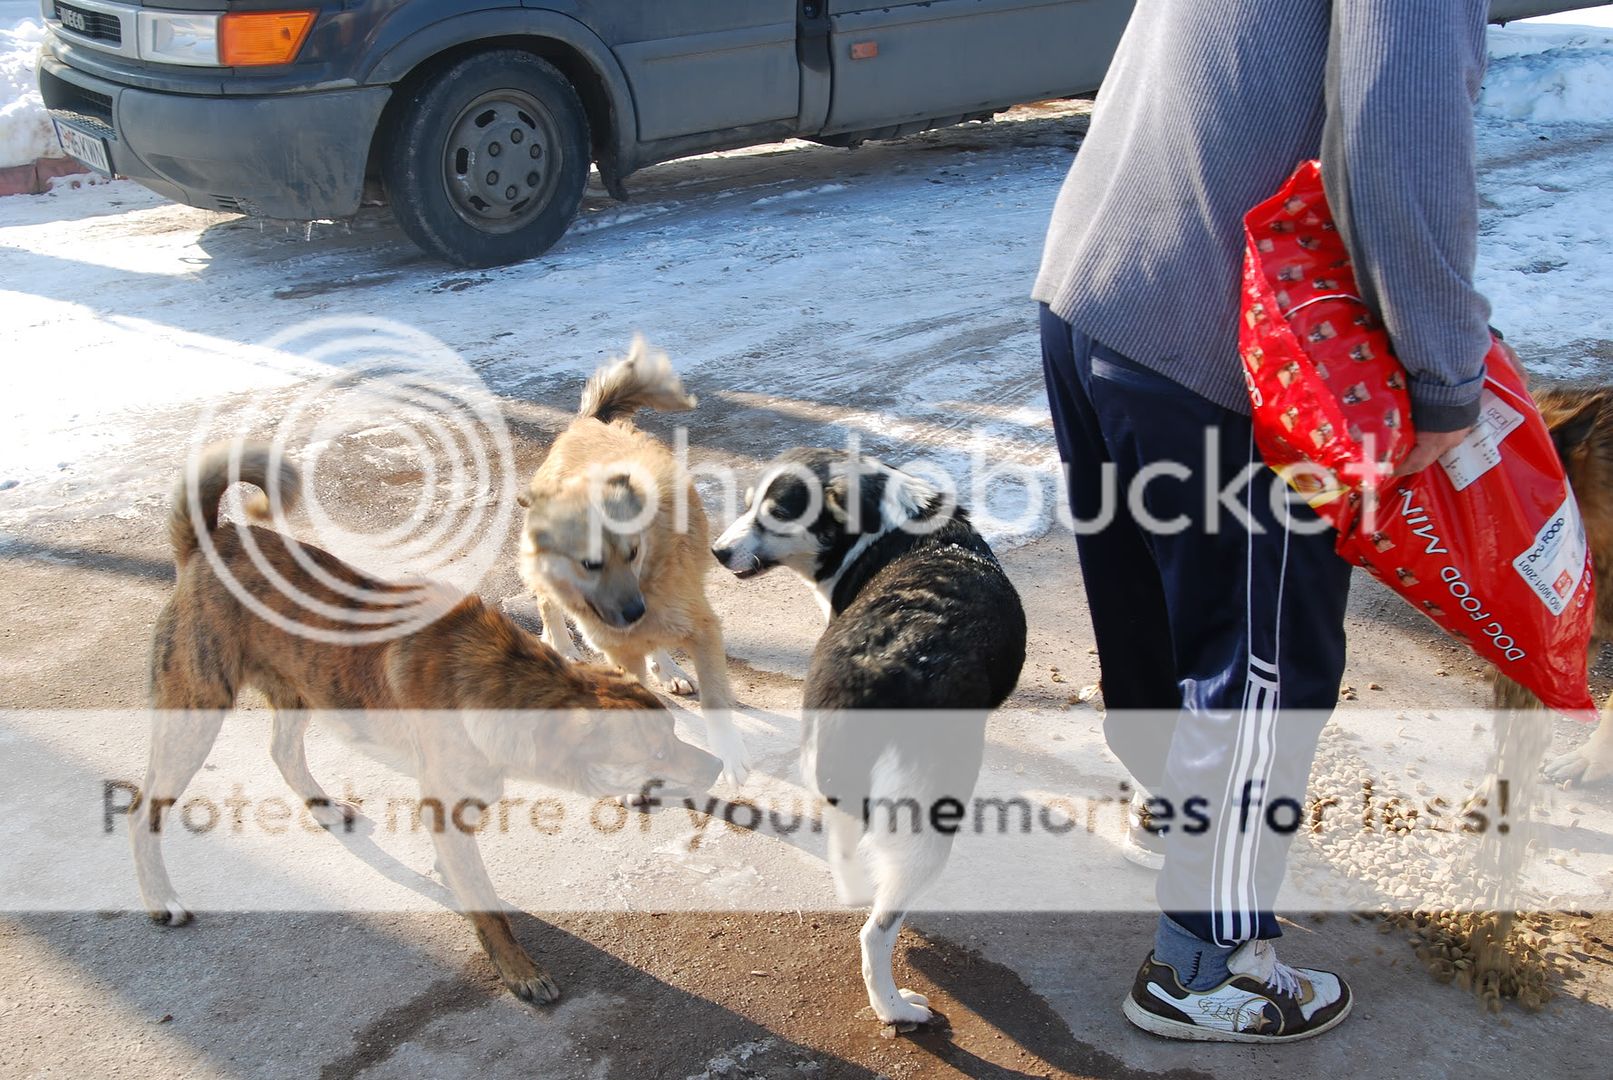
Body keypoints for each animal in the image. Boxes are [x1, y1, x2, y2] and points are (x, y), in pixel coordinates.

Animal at [138, 441, 719, 1005]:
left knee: (283, 752)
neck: (501, 680)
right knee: (145, 809)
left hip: (299, 691)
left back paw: (322, 807)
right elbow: (489, 907)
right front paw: (519, 971)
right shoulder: (447, 799)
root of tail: (210, 541)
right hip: (195, 713)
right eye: (657, 751)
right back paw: (160, 897)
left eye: (673, 735)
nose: (715, 768)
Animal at [519, 340, 751, 786]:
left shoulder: (703, 629)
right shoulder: (619, 650)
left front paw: (730, 756)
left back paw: (669, 669)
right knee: (545, 600)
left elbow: (716, 701)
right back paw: (562, 646)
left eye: (633, 554)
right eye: (590, 564)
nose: (633, 611)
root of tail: (587, 424)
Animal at [716, 451, 1025, 1025]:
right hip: (928, 823)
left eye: (774, 513)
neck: (888, 524)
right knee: (875, 936)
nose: (717, 551)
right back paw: (896, 1008)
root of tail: (870, 668)